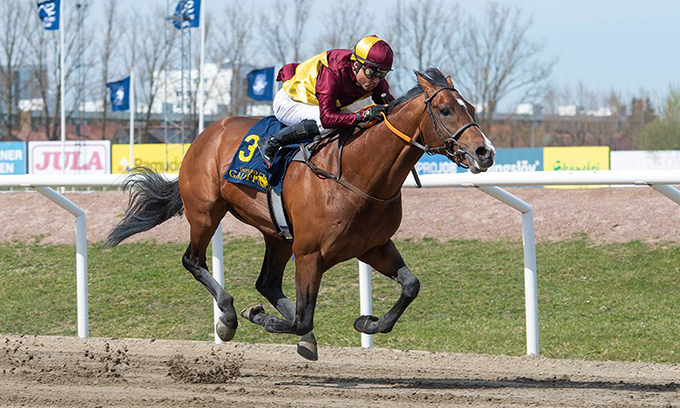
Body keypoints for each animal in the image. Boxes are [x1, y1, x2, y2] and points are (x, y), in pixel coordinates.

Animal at [109, 67, 496, 360]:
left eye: (472, 107)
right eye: (445, 110)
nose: (485, 152)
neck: (356, 173)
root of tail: (205, 134)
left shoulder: (373, 246)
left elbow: (410, 285)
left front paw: (367, 323)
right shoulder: (310, 253)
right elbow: (303, 318)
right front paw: (259, 317)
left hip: (277, 234)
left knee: (266, 282)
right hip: (206, 212)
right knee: (193, 260)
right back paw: (229, 317)